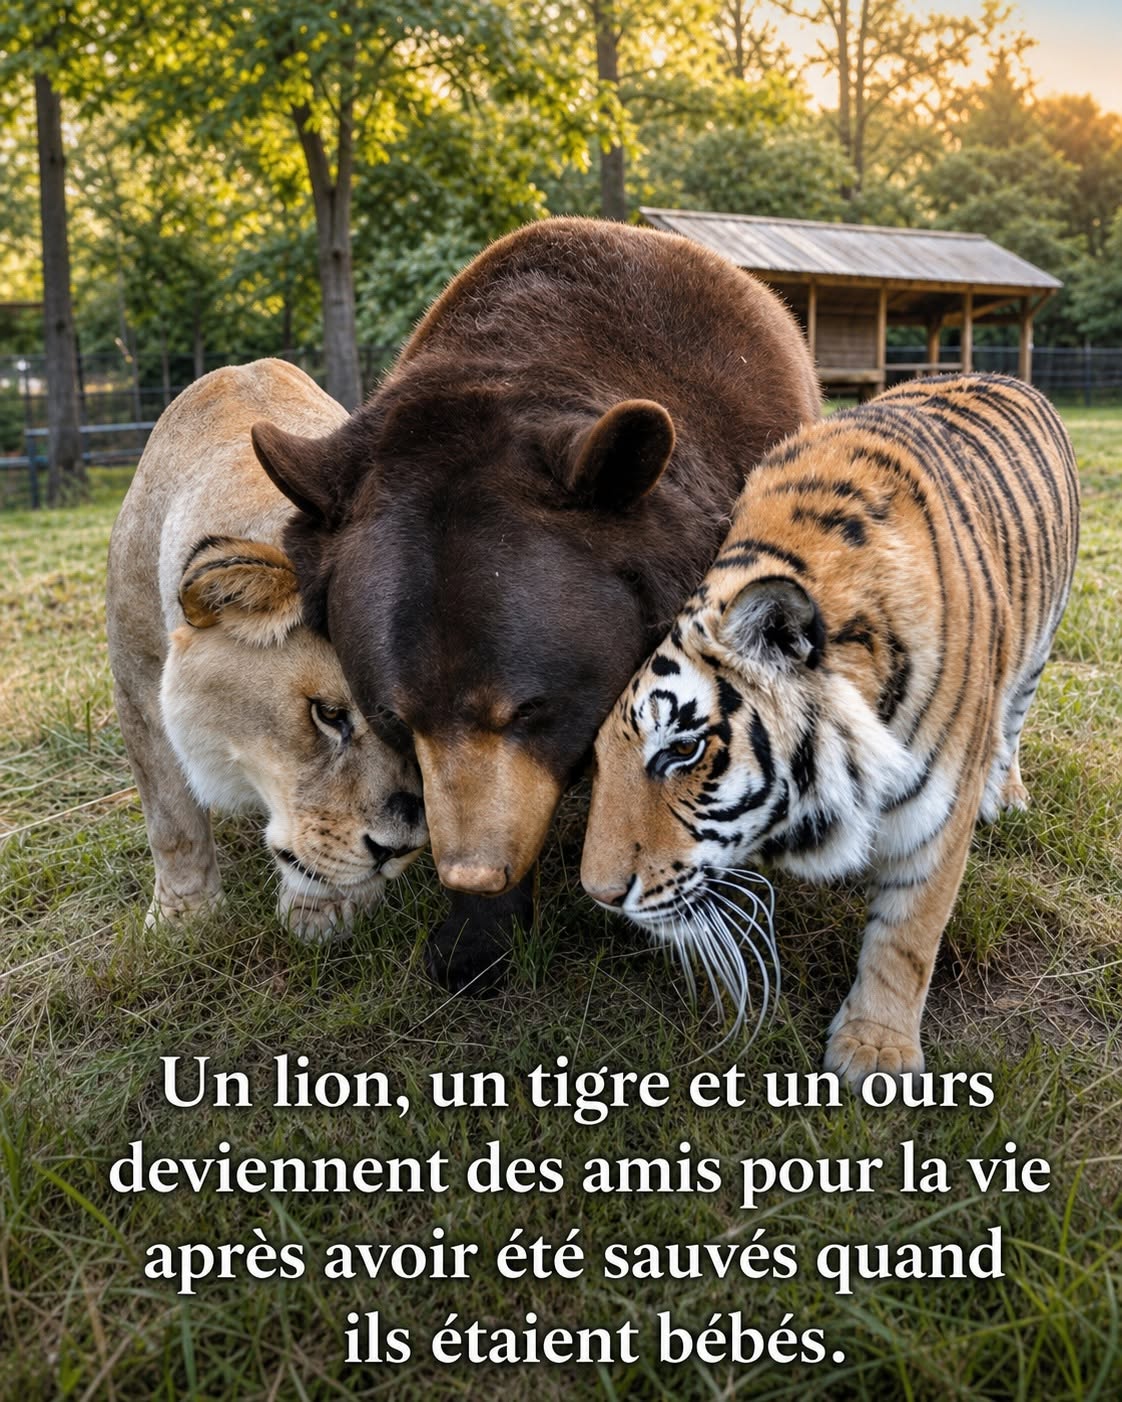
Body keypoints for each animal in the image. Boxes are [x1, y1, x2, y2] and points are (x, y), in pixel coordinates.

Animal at [106, 359, 428, 938]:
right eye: (328, 714)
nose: (398, 849)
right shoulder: (136, 684)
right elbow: (172, 819)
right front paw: (184, 919)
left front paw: (323, 913)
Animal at [581, 374, 1080, 1087]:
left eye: (682, 749)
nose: (599, 895)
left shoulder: (936, 811)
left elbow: (908, 933)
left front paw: (875, 1050)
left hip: (1038, 652)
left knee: (1013, 722)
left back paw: (1005, 794)